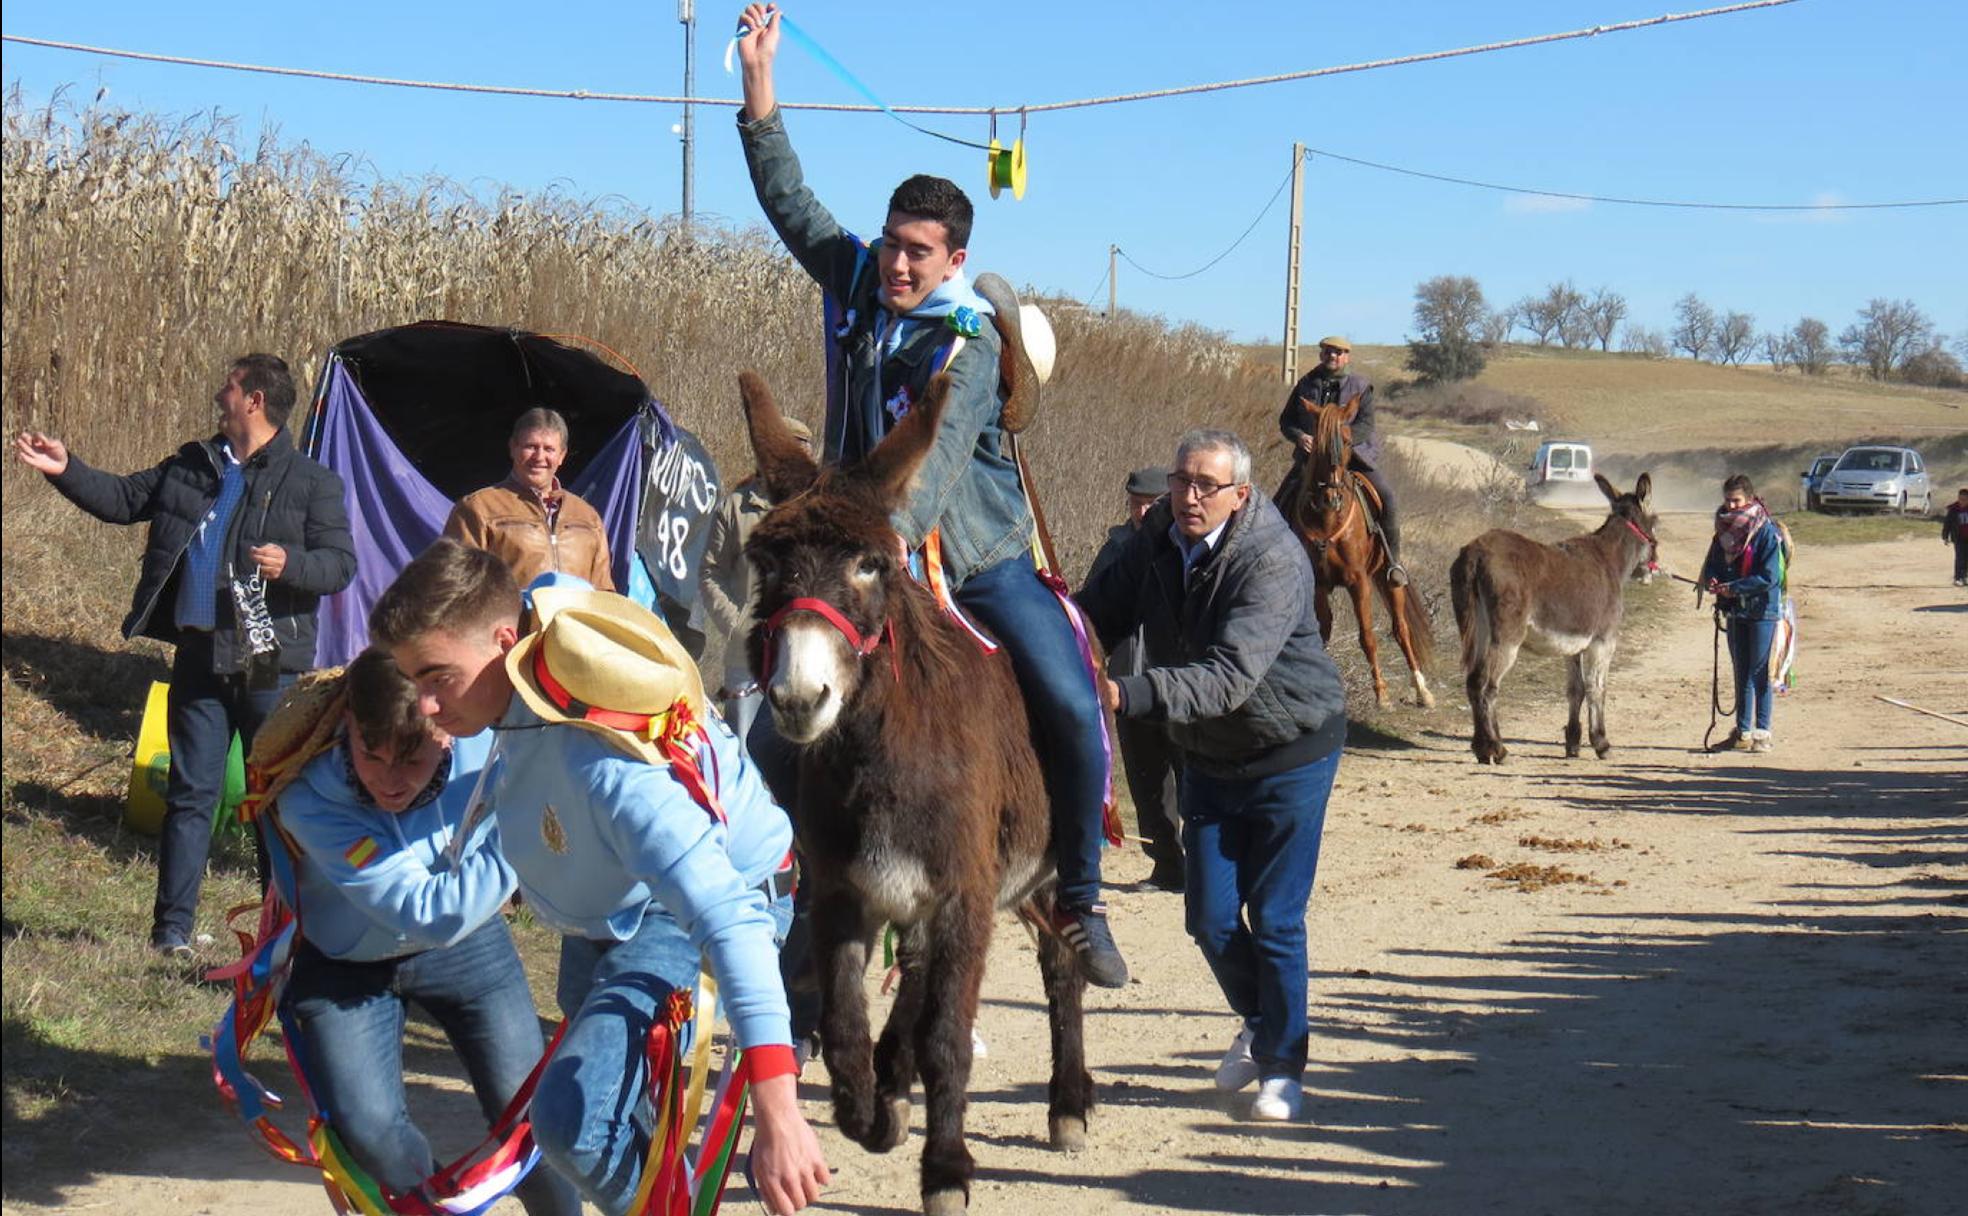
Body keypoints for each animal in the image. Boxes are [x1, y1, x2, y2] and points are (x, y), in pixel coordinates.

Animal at [736, 369, 1086, 1212]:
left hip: (1048, 869)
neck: (882, 754)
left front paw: (947, 1169)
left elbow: (947, 1039)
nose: (799, 699)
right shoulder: (840, 891)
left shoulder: (964, 894)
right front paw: (872, 1113)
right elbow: (843, 1027)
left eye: (872, 564)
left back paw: (1068, 1104)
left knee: (1061, 965)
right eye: (768, 563)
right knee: (917, 980)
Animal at [1291, 397, 1432, 704]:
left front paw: (1381, 694)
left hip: (1389, 577)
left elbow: (1367, 636)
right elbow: (1323, 631)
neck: (1328, 521)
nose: (1330, 497)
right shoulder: (1319, 583)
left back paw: (1422, 690)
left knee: (1401, 629)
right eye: (1316, 441)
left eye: (1346, 441)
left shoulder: (1358, 581)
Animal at [1456, 470, 1653, 763]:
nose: (1650, 571)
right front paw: (1601, 743)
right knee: (1487, 685)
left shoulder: (1574, 644)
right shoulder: (1603, 640)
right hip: (1507, 637)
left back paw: (1482, 748)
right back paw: (1497, 749)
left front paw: (1572, 743)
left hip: (1476, 630)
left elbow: (1576, 690)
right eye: (1655, 524)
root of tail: (1476, 553)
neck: (1610, 559)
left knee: (1473, 682)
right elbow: (1597, 688)